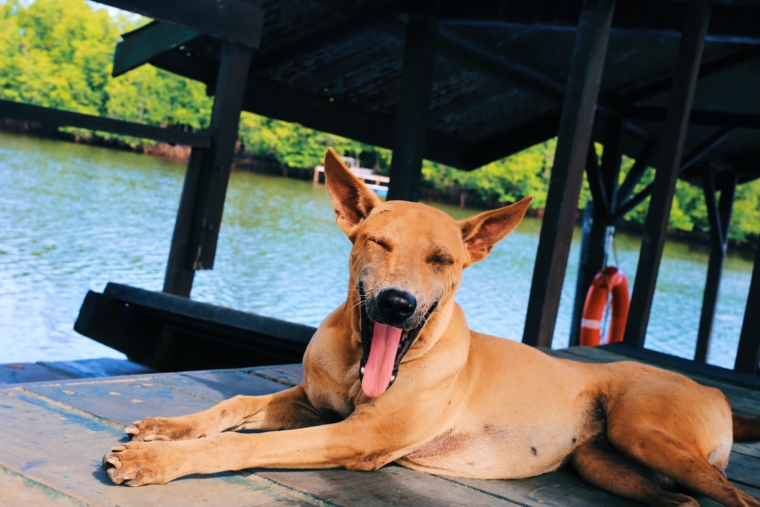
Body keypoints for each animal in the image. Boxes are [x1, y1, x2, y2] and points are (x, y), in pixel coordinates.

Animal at [105, 148, 760, 507]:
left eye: (442, 259)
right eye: (379, 242)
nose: (397, 304)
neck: (358, 362)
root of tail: (711, 387)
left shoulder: (350, 437)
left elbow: (245, 444)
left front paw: (155, 462)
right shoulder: (311, 401)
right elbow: (234, 405)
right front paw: (166, 429)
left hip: (646, 433)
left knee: (739, 495)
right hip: (606, 463)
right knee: (686, 500)